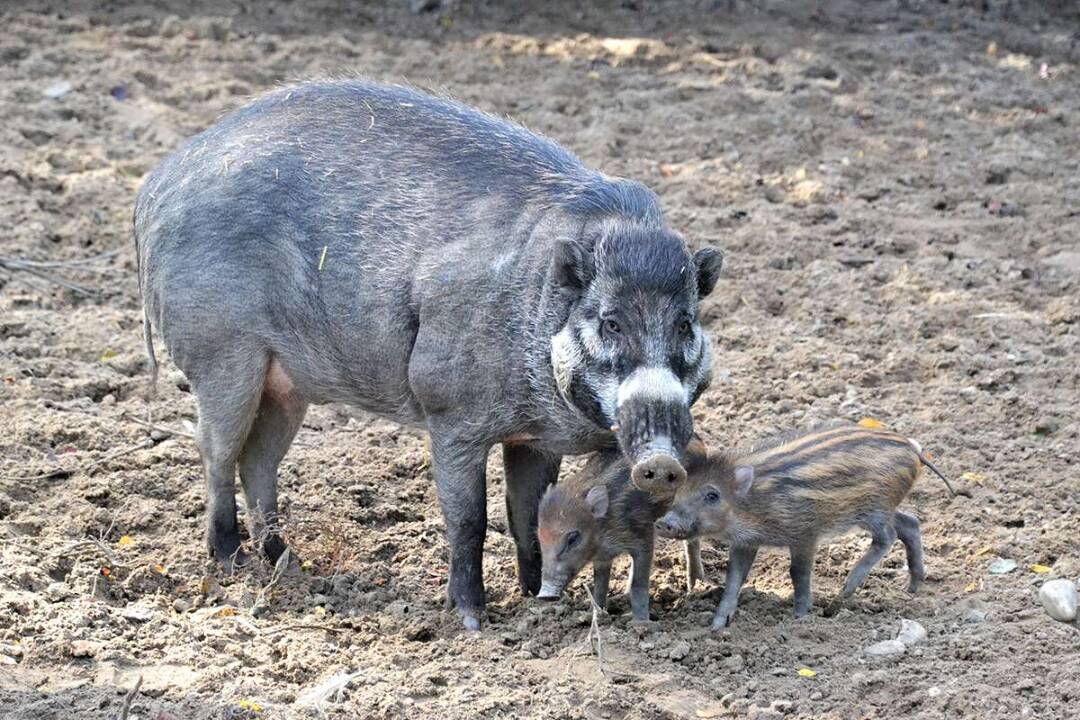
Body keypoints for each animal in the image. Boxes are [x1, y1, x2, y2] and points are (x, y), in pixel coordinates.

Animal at [137, 80, 725, 630]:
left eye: (685, 322)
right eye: (610, 322)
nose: (662, 463)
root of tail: (158, 182)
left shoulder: (533, 438)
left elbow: (525, 513)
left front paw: (537, 599)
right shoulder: (451, 413)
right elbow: (469, 519)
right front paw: (472, 619)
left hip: (286, 384)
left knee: (259, 459)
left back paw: (288, 563)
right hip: (221, 354)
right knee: (215, 451)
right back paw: (231, 560)